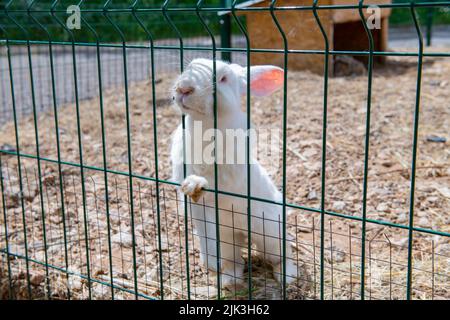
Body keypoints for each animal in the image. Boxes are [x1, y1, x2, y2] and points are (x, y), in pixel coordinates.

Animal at [170, 58, 298, 290]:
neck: (204, 124)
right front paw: (210, 263)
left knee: (281, 255)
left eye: (223, 78)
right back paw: (229, 280)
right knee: (235, 261)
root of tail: (243, 233)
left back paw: (287, 276)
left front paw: (195, 183)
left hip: (271, 235)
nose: (184, 88)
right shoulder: (198, 209)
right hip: (229, 238)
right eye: (190, 66)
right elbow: (203, 231)